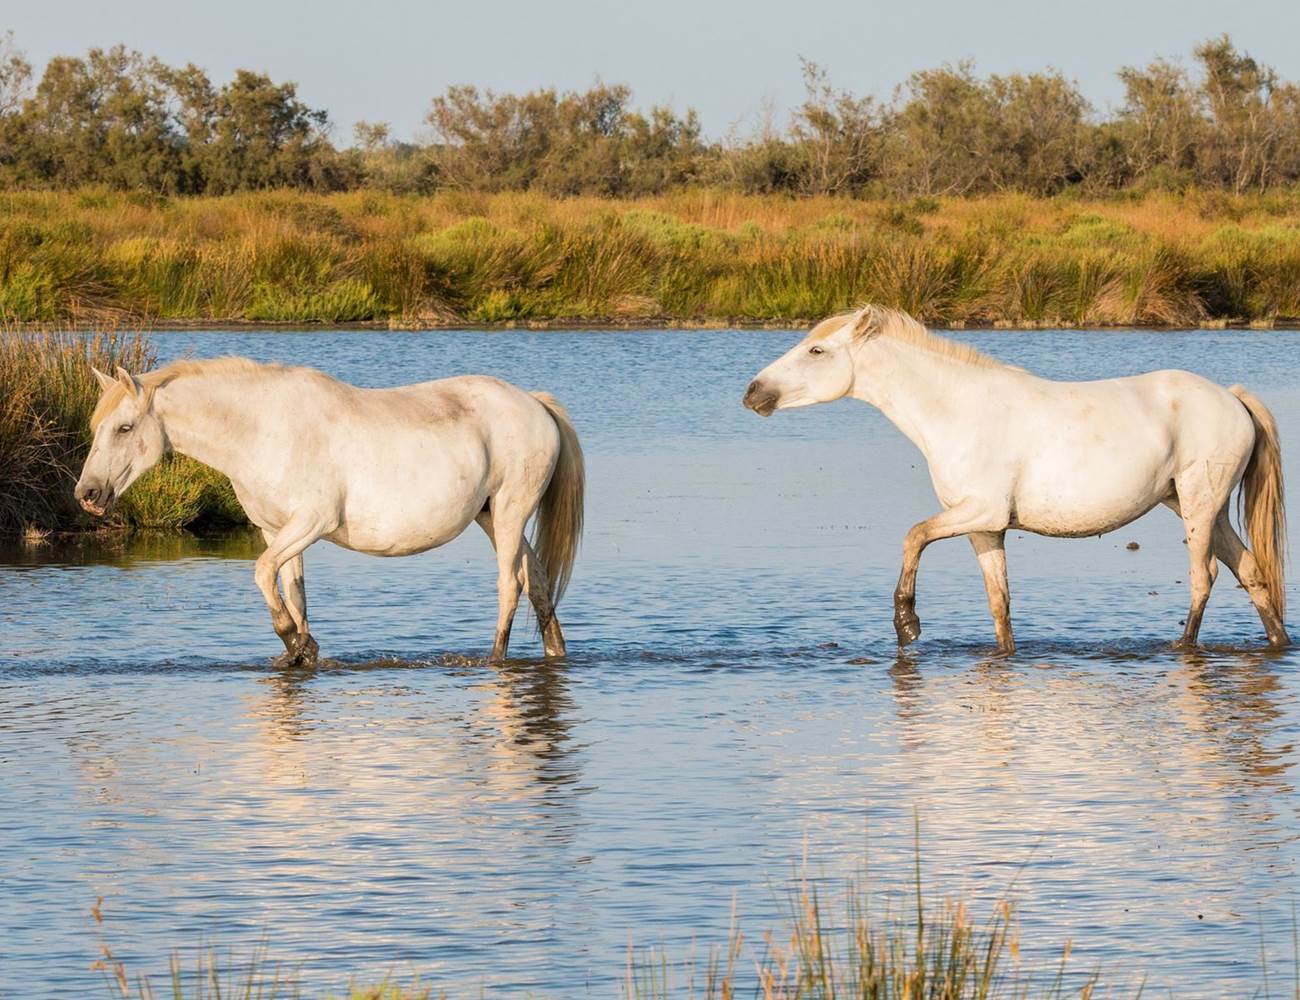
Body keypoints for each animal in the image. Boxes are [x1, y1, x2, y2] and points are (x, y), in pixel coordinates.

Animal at [75, 358, 584, 666]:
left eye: (124, 428)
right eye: (98, 427)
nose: (88, 493)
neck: (262, 429)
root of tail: (535, 403)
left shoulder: (311, 523)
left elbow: (262, 574)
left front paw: (296, 643)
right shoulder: (276, 530)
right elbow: (293, 593)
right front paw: (300, 651)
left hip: (511, 511)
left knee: (510, 586)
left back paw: (494, 660)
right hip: (492, 516)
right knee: (538, 583)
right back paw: (555, 652)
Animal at [743, 305, 1288, 654]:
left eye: (816, 351)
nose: (752, 392)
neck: (957, 410)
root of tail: (1231, 397)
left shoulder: (979, 511)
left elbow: (913, 535)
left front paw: (907, 623)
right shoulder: (985, 528)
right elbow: (999, 604)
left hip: (1198, 504)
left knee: (1204, 577)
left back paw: (1182, 645)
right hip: (1201, 508)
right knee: (1252, 573)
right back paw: (1278, 641)